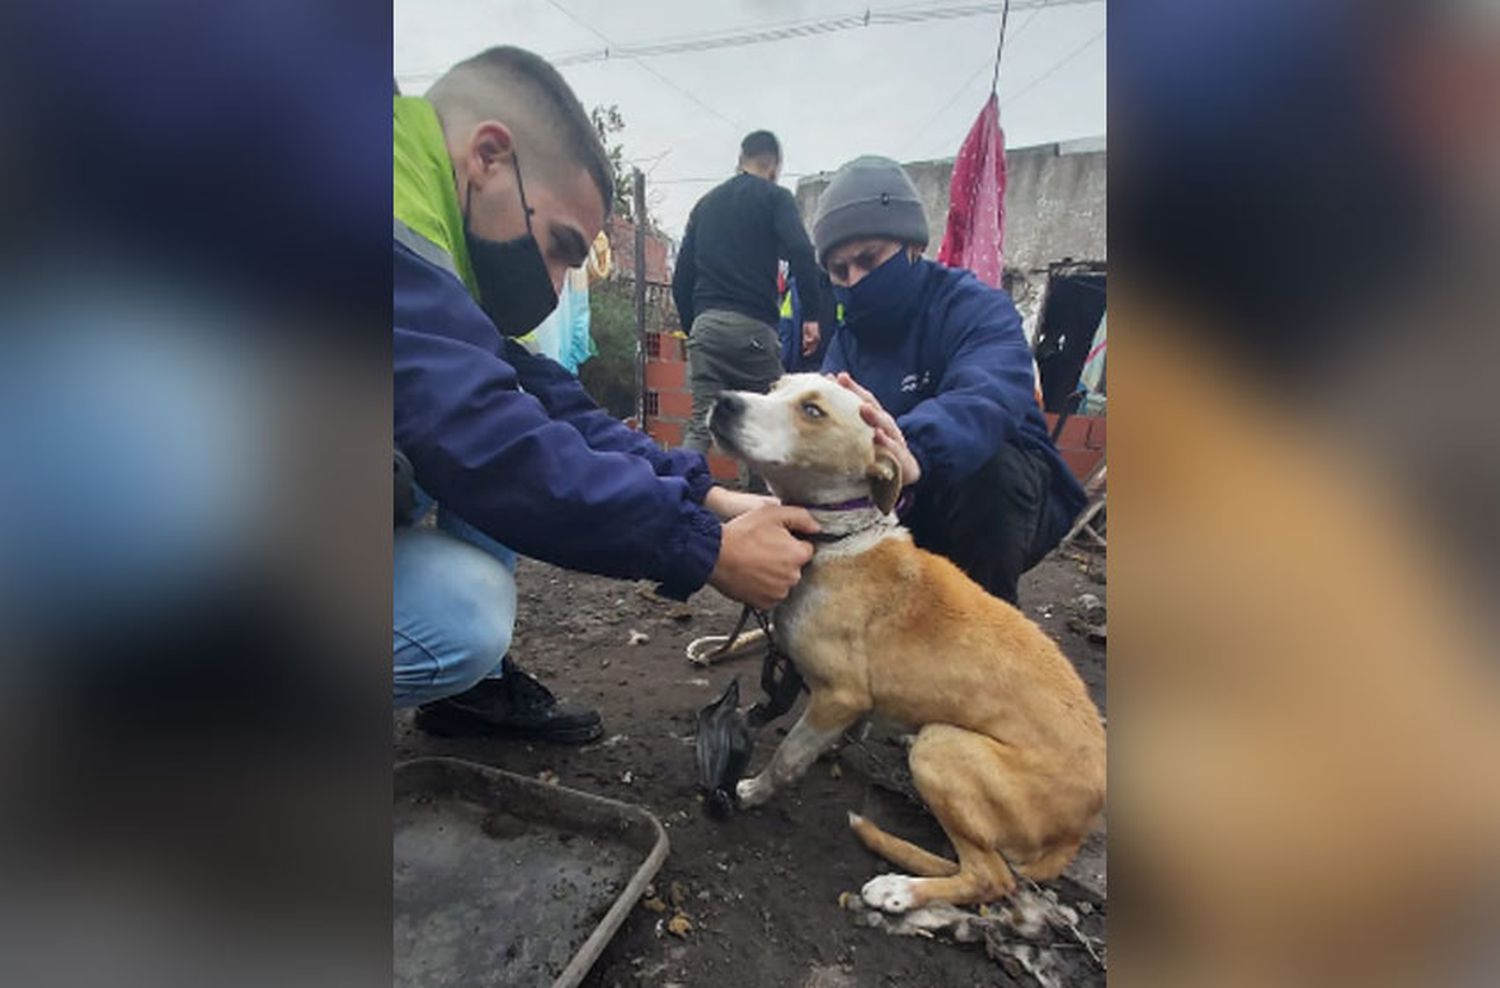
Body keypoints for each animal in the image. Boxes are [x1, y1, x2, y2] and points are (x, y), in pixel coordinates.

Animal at [708, 374, 1110, 917]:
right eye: (775, 387)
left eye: (812, 411)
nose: (723, 402)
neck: (836, 543)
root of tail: (1082, 823)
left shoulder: (839, 696)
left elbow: (789, 757)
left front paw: (752, 790)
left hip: (942, 747)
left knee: (991, 878)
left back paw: (899, 890)